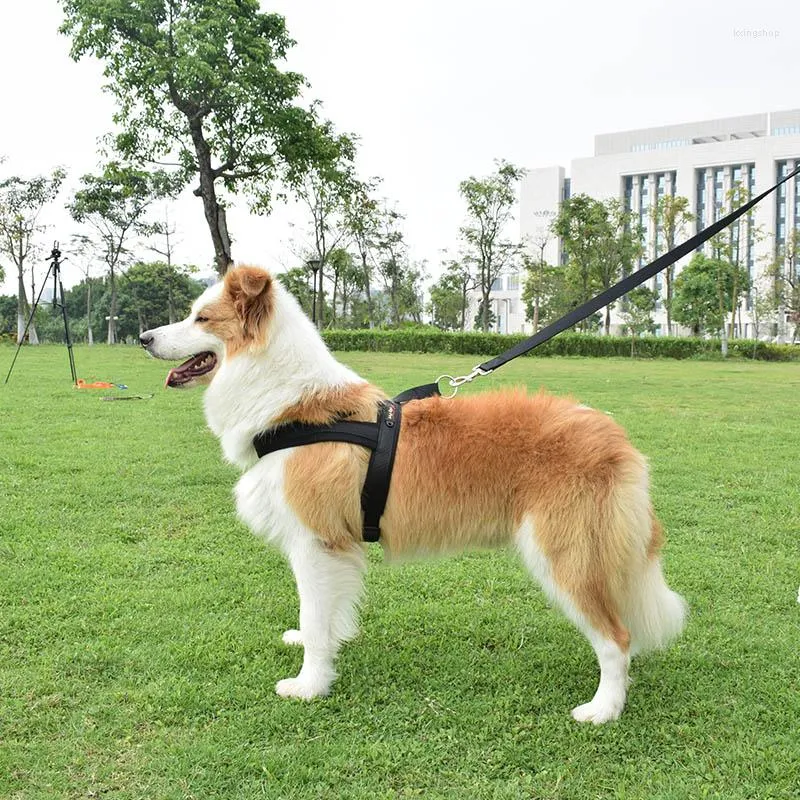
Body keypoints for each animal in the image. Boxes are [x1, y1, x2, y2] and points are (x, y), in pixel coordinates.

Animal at [139, 264, 688, 724]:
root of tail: (617, 441)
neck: (293, 408)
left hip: (565, 552)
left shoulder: (316, 543)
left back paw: (603, 709)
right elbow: (323, 615)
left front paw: (310, 685)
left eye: (201, 317)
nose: (144, 337)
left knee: (617, 639)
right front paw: (330, 643)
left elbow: (314, 622)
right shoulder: (335, 549)